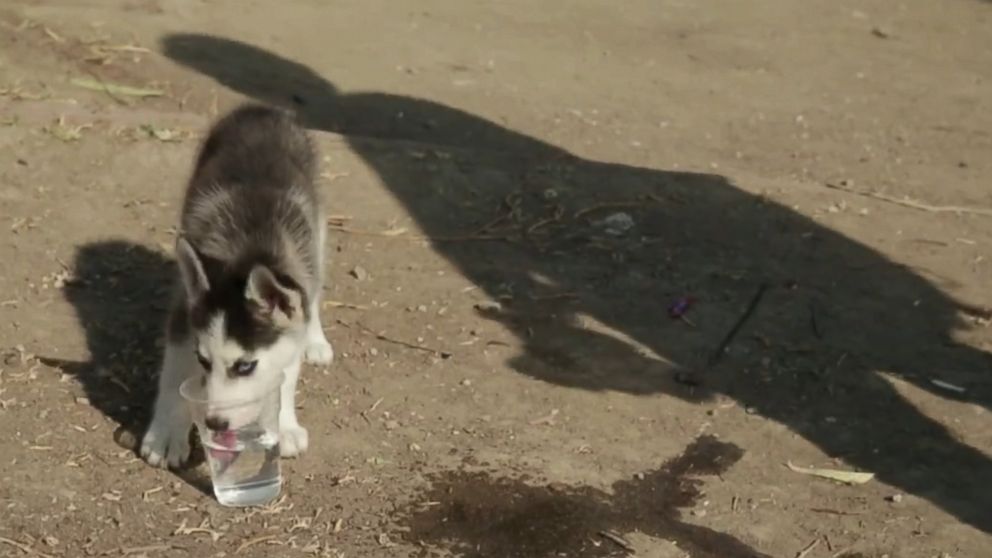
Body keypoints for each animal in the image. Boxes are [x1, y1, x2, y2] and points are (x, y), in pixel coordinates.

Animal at [140, 104, 334, 468]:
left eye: (245, 366)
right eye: (203, 361)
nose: (215, 423)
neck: (251, 251)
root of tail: (261, 108)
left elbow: (285, 374)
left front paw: (285, 424)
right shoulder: (184, 314)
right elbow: (174, 374)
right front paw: (167, 433)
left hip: (317, 232)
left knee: (311, 298)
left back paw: (316, 340)